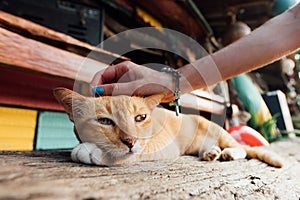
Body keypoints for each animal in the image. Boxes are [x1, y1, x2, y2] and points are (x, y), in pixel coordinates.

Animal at [53, 87, 284, 167]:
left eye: (140, 117)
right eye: (104, 122)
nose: (130, 140)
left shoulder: (160, 145)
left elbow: (135, 152)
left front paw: (89, 151)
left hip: (221, 134)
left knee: (243, 149)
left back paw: (228, 153)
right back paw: (212, 152)